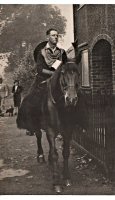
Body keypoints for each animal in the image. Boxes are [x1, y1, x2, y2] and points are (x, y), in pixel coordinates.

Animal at [16, 60, 86, 192]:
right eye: (63, 73)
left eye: (78, 73)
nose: (71, 99)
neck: (60, 105)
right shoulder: (50, 130)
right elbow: (54, 155)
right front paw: (56, 183)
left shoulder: (68, 130)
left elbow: (65, 152)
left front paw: (66, 177)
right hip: (37, 126)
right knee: (38, 136)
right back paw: (41, 156)